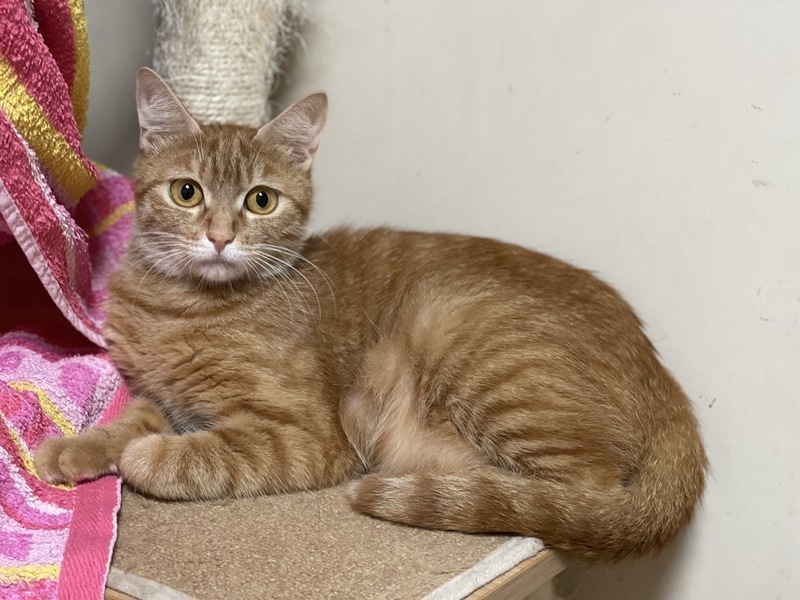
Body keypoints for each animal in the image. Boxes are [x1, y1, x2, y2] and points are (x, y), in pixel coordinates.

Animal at [34, 67, 706, 563]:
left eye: (260, 200)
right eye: (186, 192)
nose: (221, 238)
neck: (180, 308)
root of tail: (664, 377)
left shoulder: (304, 435)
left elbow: (191, 453)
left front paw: (142, 458)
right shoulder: (161, 397)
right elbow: (128, 421)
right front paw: (71, 451)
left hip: (462, 333)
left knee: (584, 493)